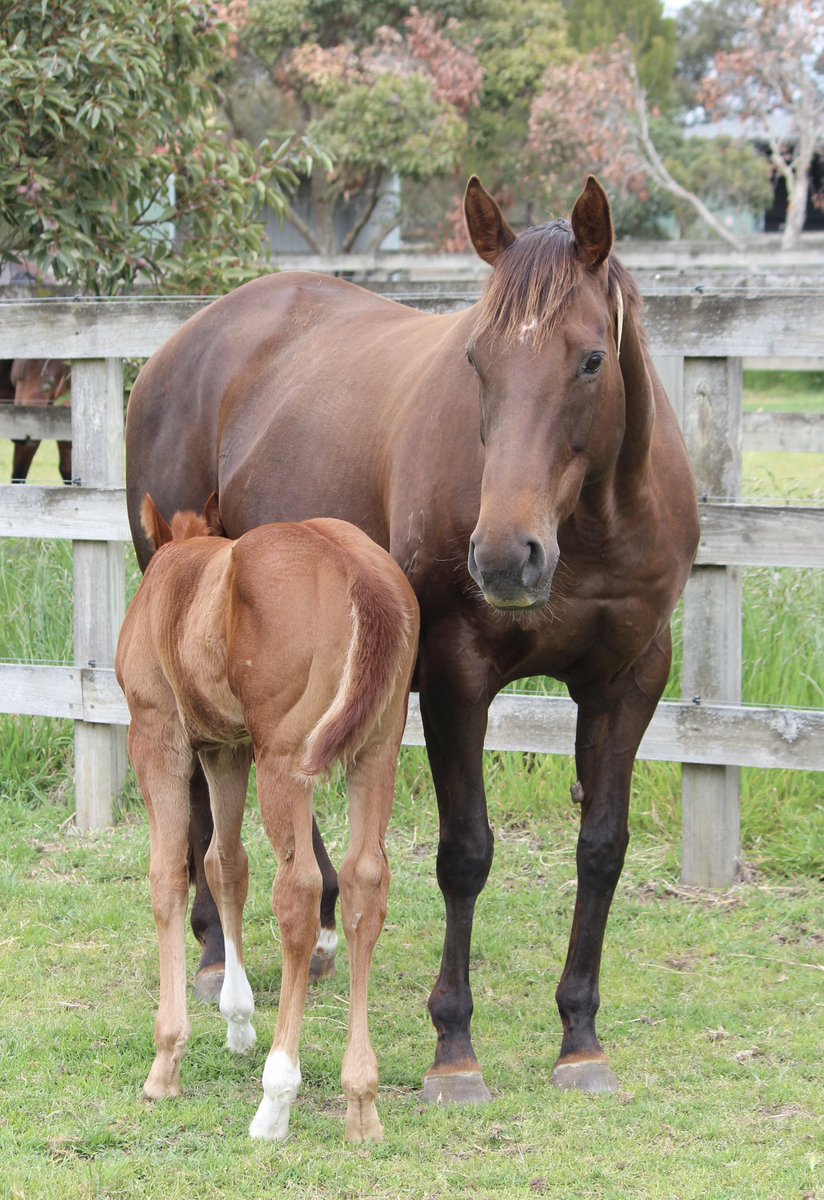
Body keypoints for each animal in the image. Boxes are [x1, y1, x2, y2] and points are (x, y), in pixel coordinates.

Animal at [115, 494, 418, 1141]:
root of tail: (360, 574)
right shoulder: (226, 748)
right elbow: (226, 863)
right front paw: (237, 1019)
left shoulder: (158, 734)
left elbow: (167, 875)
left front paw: (166, 1060)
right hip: (376, 751)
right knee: (365, 884)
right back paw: (362, 1101)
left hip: (287, 760)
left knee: (299, 892)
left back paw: (276, 1100)